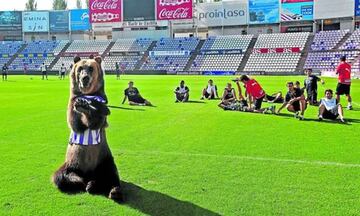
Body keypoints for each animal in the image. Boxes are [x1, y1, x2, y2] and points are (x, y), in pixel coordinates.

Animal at [51, 56, 122, 201]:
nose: (85, 78)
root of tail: (89, 174)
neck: (88, 95)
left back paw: (111, 190)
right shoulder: (72, 104)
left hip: (103, 159)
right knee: (61, 176)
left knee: (111, 174)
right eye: (80, 68)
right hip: (71, 163)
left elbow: (98, 120)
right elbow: (76, 123)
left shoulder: (101, 102)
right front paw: (82, 105)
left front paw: (88, 107)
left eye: (91, 68)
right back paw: (87, 183)